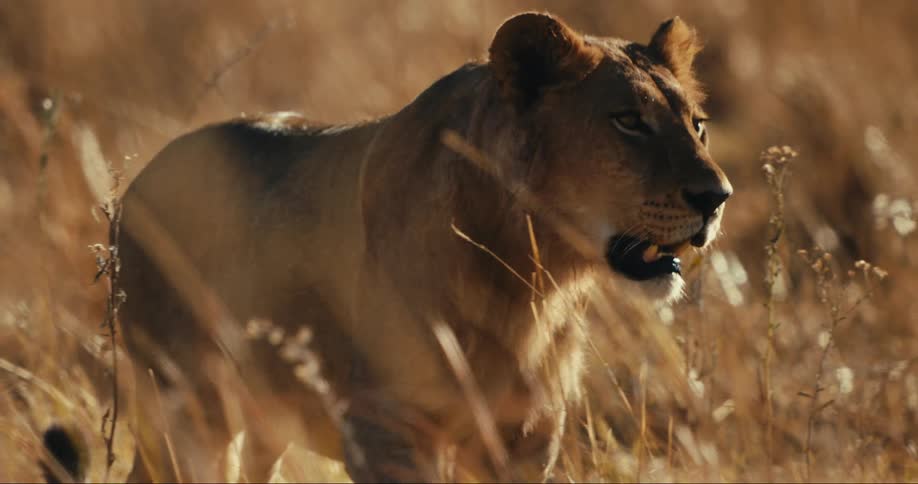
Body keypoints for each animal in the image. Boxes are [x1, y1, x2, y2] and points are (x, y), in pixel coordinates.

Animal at [110, 12, 731, 482]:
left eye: (698, 125)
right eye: (628, 121)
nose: (717, 197)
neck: (528, 279)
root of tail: (142, 178)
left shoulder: (526, 438)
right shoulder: (386, 429)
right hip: (185, 411)